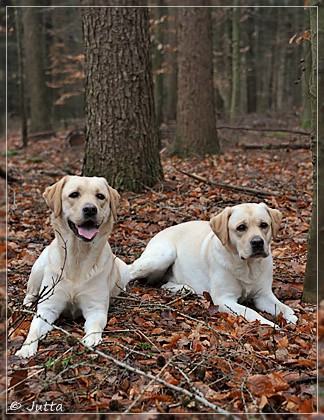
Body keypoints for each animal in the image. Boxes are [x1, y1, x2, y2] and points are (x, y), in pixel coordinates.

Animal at [14, 176, 129, 360]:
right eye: (74, 194)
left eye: (100, 196)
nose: (90, 209)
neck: (78, 257)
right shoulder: (48, 307)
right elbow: (34, 329)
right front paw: (26, 348)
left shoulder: (95, 308)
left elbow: (95, 325)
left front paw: (91, 339)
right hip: (38, 269)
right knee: (30, 293)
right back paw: (28, 304)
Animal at [130, 203, 298, 328]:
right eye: (241, 227)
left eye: (264, 225)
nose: (257, 242)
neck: (247, 266)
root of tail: (159, 232)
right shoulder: (224, 299)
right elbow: (250, 312)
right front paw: (269, 324)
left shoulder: (264, 295)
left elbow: (284, 307)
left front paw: (292, 317)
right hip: (164, 255)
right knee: (133, 272)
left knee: (162, 283)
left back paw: (184, 288)